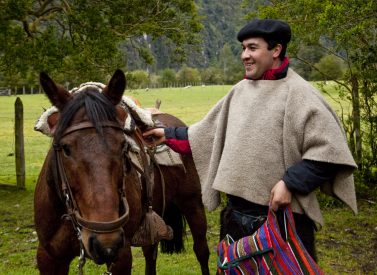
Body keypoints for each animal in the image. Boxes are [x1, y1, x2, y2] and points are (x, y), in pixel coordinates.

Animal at [33, 69, 210, 275]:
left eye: (123, 146)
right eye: (66, 149)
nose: (106, 243)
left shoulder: (121, 256)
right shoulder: (49, 258)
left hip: (193, 204)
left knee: (201, 251)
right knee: (151, 254)